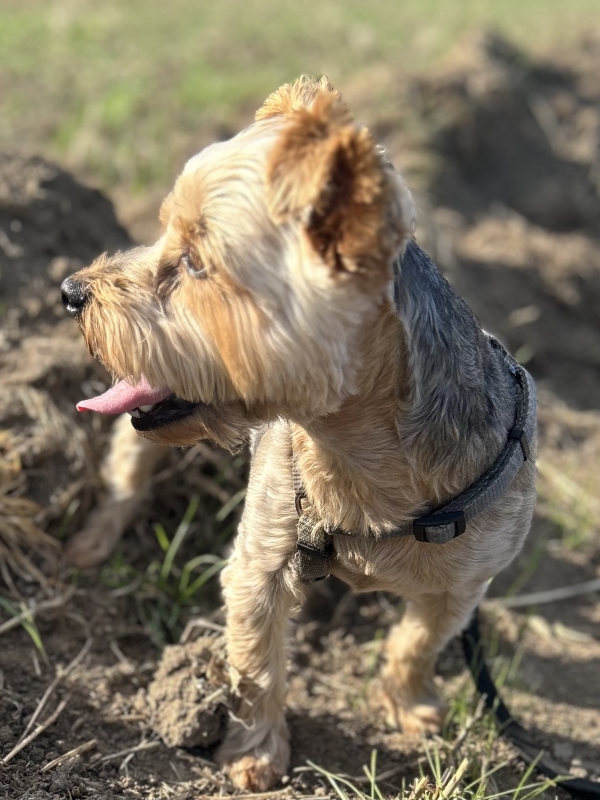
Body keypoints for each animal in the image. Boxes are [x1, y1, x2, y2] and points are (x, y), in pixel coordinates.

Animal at [61, 76, 537, 791]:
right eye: (166, 235)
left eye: (197, 263)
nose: (70, 290)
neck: (360, 459)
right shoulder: (260, 557)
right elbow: (258, 666)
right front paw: (256, 755)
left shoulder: (467, 583)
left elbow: (419, 641)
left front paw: (408, 706)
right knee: (127, 464)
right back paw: (95, 540)